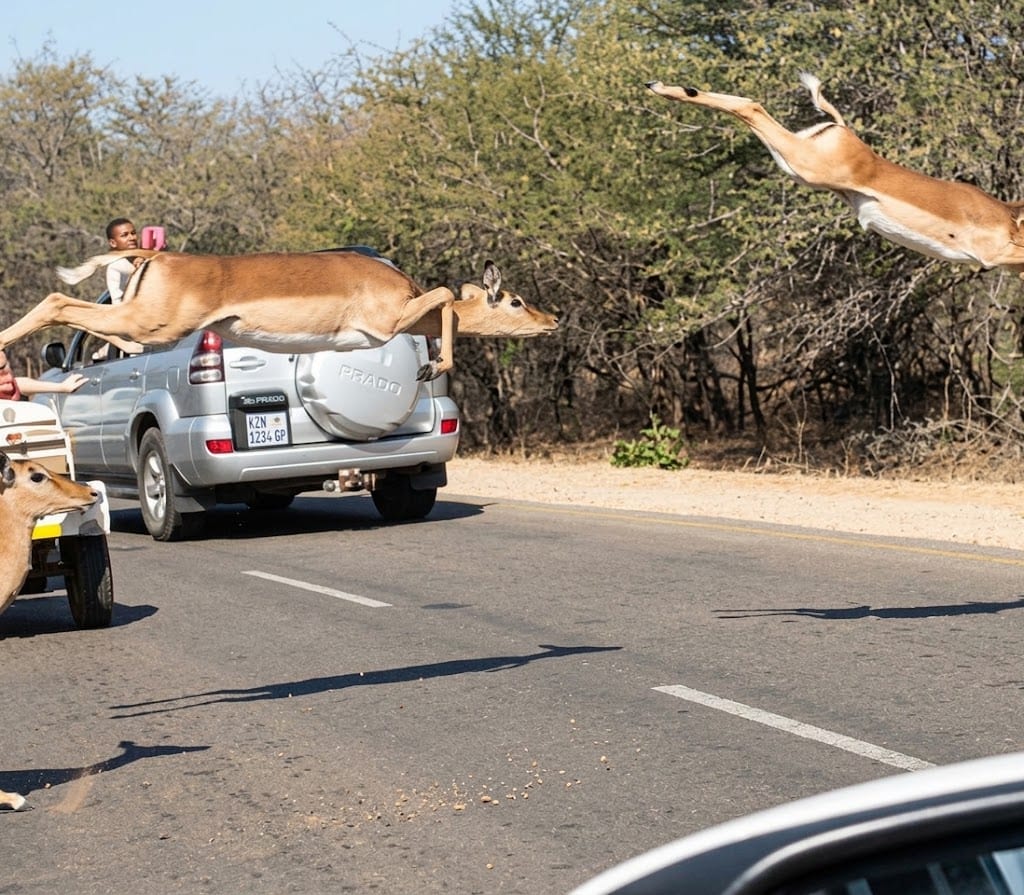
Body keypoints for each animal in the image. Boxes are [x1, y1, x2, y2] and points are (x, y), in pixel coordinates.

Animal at [646, 73, 1024, 275]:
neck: (1009, 217)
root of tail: (841, 129)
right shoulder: (993, 256)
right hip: (803, 164)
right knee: (751, 105)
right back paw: (659, 87)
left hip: (795, 167)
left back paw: (660, 86)